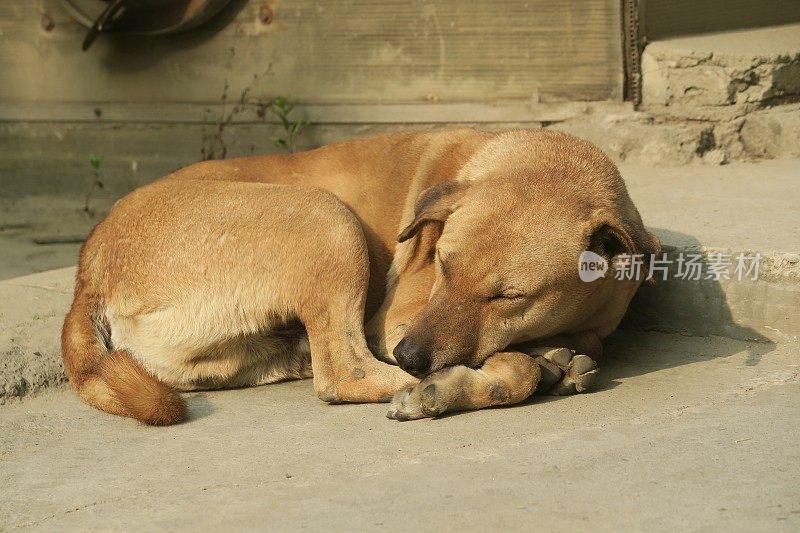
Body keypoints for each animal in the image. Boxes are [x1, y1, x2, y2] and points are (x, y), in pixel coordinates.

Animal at [62, 127, 660, 422]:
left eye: (509, 296)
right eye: (442, 264)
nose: (410, 355)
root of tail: (89, 269)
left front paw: (556, 357)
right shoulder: (399, 319)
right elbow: (516, 370)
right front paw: (477, 380)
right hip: (326, 217)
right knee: (343, 374)